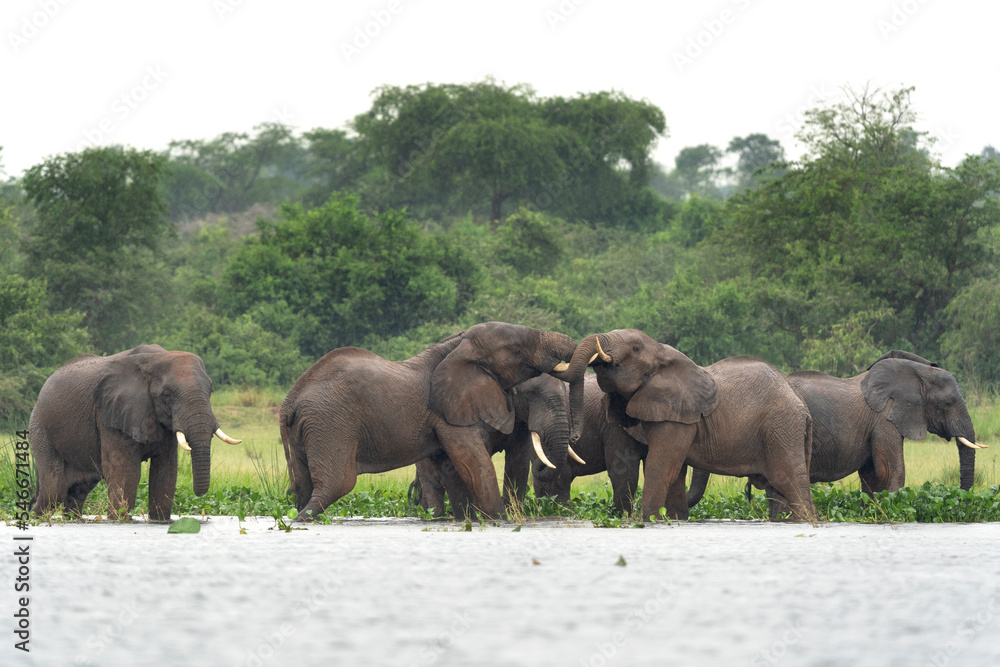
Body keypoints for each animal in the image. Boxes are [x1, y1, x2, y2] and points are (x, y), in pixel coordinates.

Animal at [29, 344, 241, 521]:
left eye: (211, 391)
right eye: (167, 395)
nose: (199, 495)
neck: (156, 358)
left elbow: (165, 472)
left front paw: (160, 521)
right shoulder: (110, 415)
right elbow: (125, 472)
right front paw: (119, 520)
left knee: (77, 490)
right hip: (40, 430)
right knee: (53, 491)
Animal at [559, 330, 817, 522]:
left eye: (635, 349)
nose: (574, 438)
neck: (662, 350)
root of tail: (802, 405)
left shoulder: (677, 417)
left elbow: (660, 465)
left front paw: (648, 521)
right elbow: (675, 472)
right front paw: (674, 519)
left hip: (781, 428)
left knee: (789, 480)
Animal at [686, 350, 985, 514]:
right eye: (948, 403)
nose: (961, 499)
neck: (915, 372)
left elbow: (872, 476)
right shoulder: (884, 420)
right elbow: (890, 471)